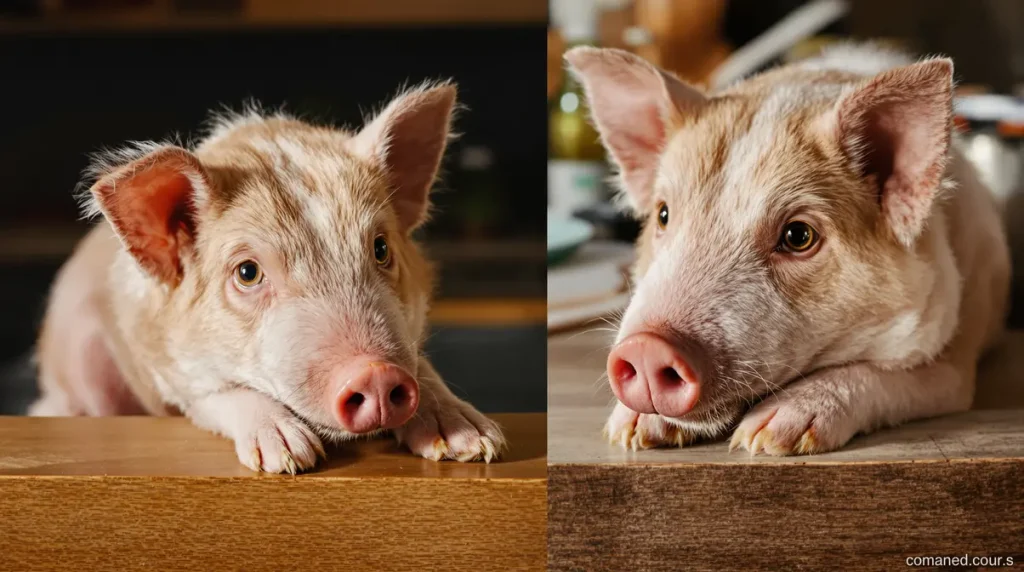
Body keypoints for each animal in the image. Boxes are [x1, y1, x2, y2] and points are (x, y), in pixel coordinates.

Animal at [29, 83, 505, 473]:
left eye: (381, 248)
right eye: (247, 272)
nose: (376, 373)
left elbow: (423, 368)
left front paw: (476, 444)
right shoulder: (174, 376)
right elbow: (214, 397)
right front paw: (292, 458)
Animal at [565, 44, 1010, 455]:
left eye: (798, 235)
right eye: (663, 214)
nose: (646, 347)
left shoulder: (954, 359)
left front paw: (765, 437)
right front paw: (629, 430)